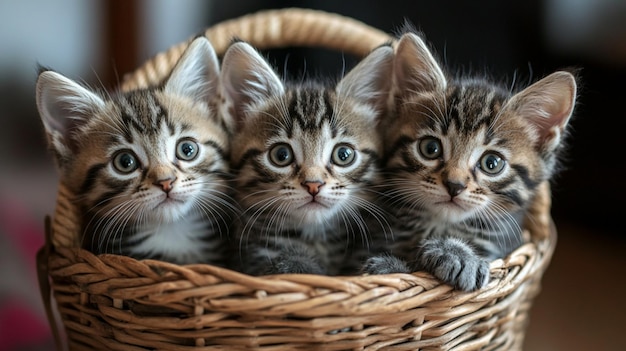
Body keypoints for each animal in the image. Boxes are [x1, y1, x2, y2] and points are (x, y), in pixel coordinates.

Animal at [360, 32, 576, 292]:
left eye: (492, 163)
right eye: (430, 148)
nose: (454, 185)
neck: (440, 226)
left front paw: (457, 254)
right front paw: (390, 266)